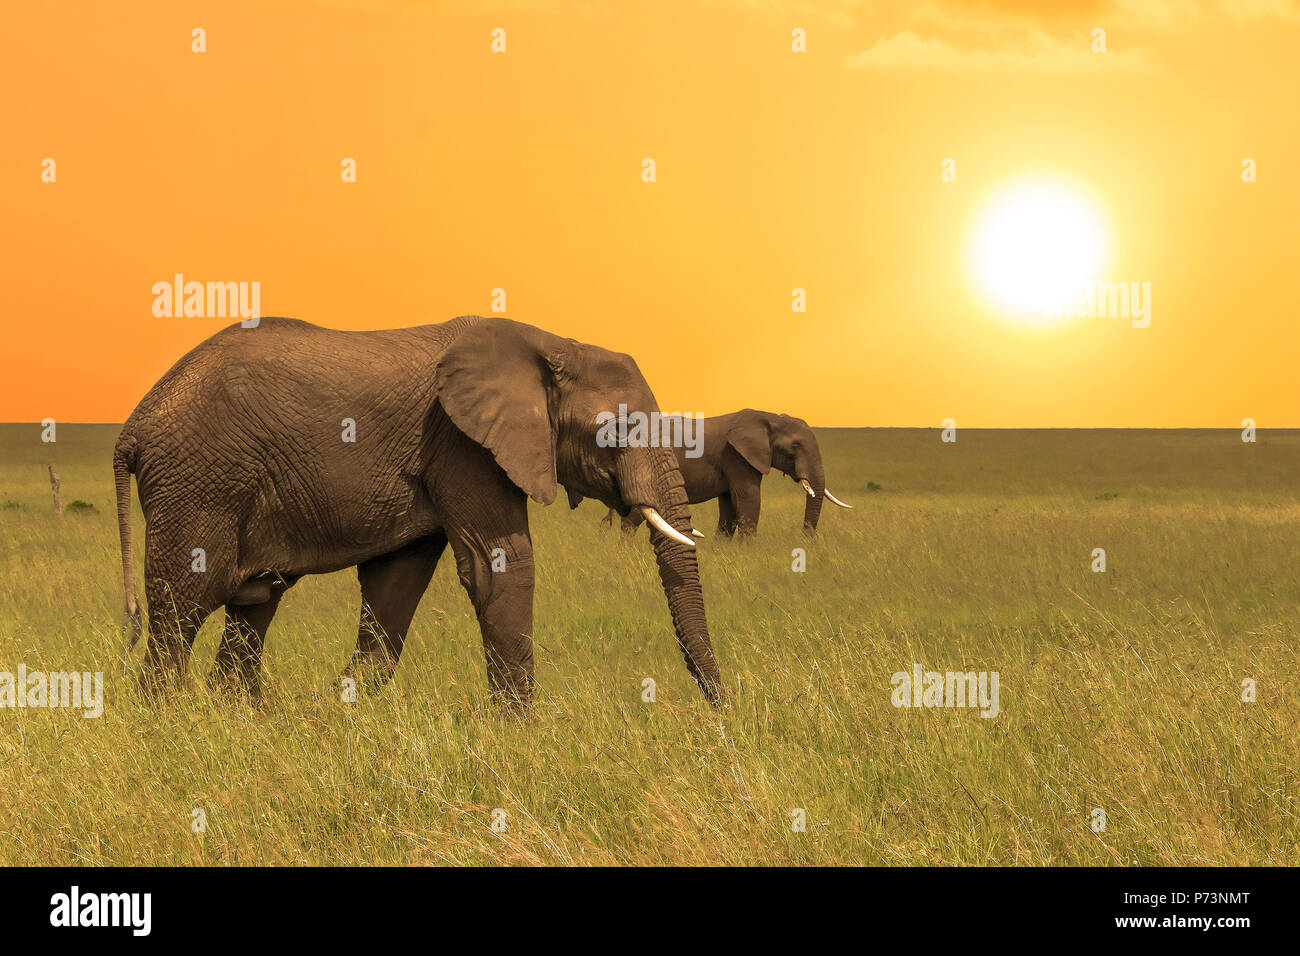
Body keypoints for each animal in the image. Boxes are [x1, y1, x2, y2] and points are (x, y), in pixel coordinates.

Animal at [113, 317, 728, 707]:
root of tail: (133, 426)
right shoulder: (463, 443)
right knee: (183, 605)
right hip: (200, 481)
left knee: (255, 604)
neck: (552, 344)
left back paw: (238, 716)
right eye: (616, 431)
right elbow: (500, 565)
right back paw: (165, 722)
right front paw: (520, 733)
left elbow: (396, 583)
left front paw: (345, 712)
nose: (723, 717)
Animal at [608, 408, 852, 535]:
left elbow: (729, 506)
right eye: (795, 446)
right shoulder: (737, 456)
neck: (770, 418)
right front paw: (748, 553)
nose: (804, 540)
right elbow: (748, 498)